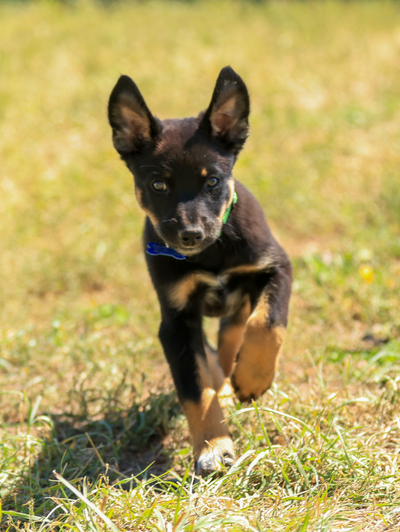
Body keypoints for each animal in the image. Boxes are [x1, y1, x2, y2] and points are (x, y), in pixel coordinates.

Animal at [108, 67, 292, 478]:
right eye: (158, 184)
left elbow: (268, 323)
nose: (190, 234)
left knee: (234, 329)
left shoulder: (276, 267)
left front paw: (253, 377)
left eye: (213, 181)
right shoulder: (176, 321)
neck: (211, 254)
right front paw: (213, 446)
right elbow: (195, 389)